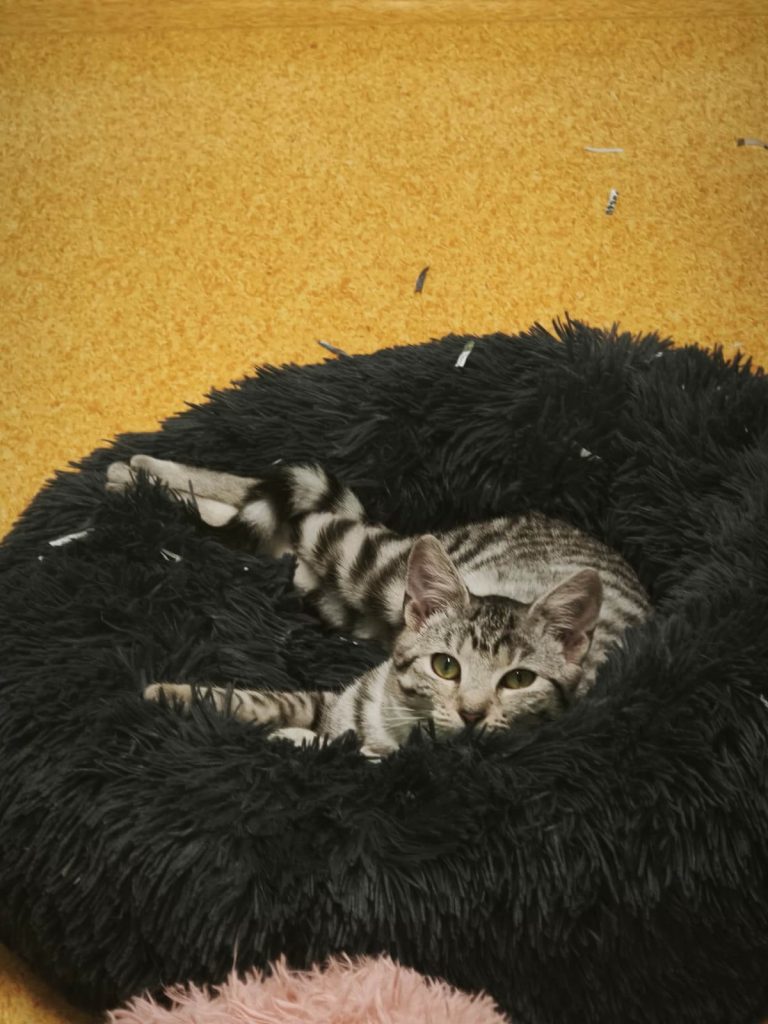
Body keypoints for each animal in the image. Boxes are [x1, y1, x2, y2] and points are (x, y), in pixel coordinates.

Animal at [107, 455, 650, 758]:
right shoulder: (331, 703)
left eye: (518, 679)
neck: (400, 718)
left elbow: (331, 741)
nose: (472, 713)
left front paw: (295, 740)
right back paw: (137, 475)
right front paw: (169, 695)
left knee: (288, 535)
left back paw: (145, 483)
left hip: (355, 581)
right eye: (446, 666)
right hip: (373, 568)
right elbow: (259, 699)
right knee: (291, 516)